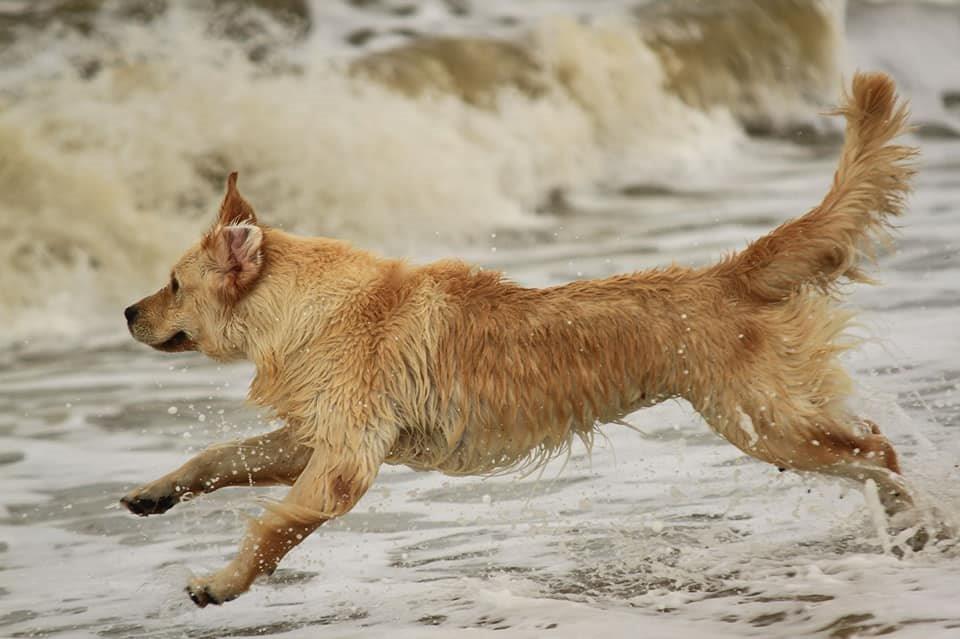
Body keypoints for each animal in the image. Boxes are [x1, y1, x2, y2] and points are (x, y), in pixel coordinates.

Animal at [124, 72, 920, 608]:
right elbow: (220, 457)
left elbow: (275, 528)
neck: (307, 308)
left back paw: (913, 523)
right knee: (869, 441)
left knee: (877, 449)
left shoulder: (346, 459)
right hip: (772, 415)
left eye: (172, 282)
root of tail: (728, 272)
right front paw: (153, 492)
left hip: (759, 420)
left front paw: (221, 582)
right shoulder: (312, 434)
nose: (127, 312)